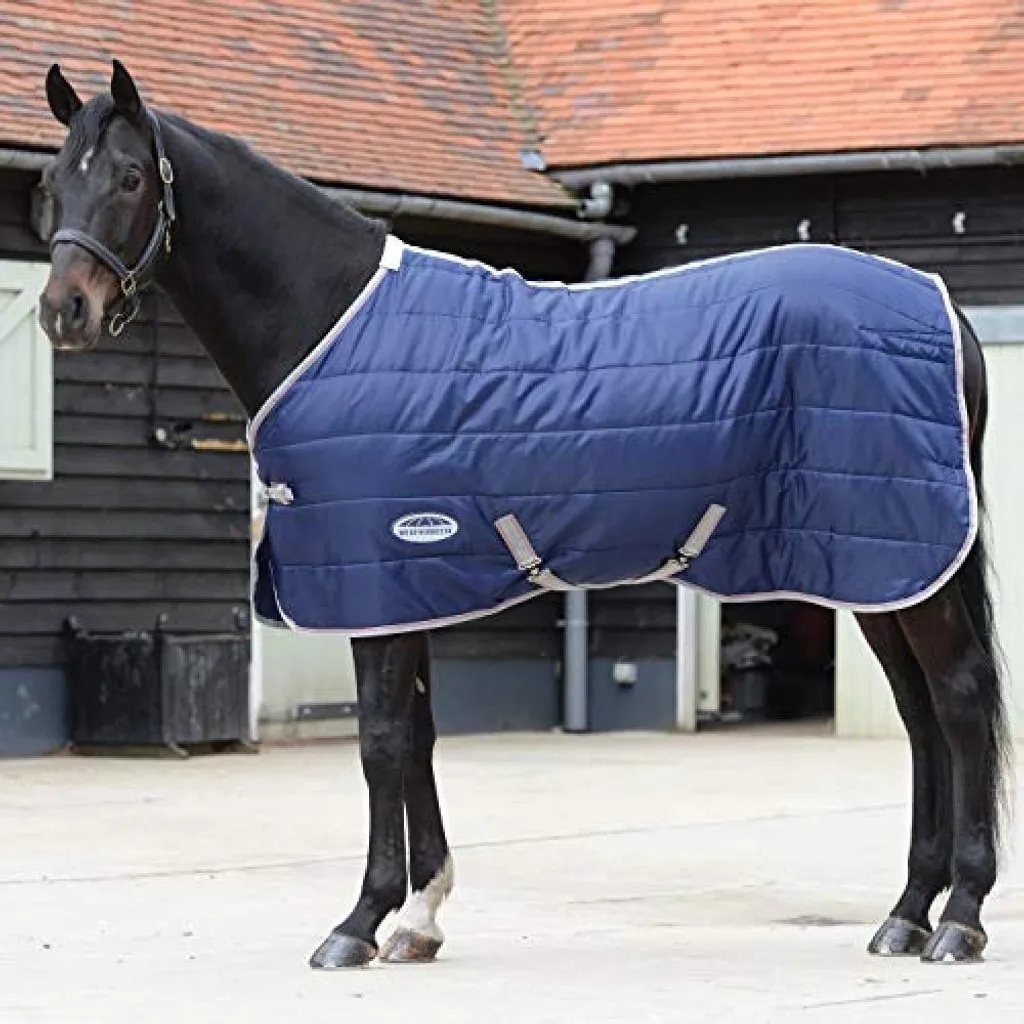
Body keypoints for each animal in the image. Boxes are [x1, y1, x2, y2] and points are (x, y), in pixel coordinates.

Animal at [37, 60, 1010, 969]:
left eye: (131, 177)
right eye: (53, 181)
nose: (61, 311)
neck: (329, 320)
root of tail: (946, 310)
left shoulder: (376, 580)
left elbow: (381, 742)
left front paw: (359, 923)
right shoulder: (409, 585)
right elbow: (419, 740)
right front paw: (420, 918)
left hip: (906, 563)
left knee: (959, 700)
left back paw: (959, 918)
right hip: (879, 564)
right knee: (920, 715)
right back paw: (905, 913)